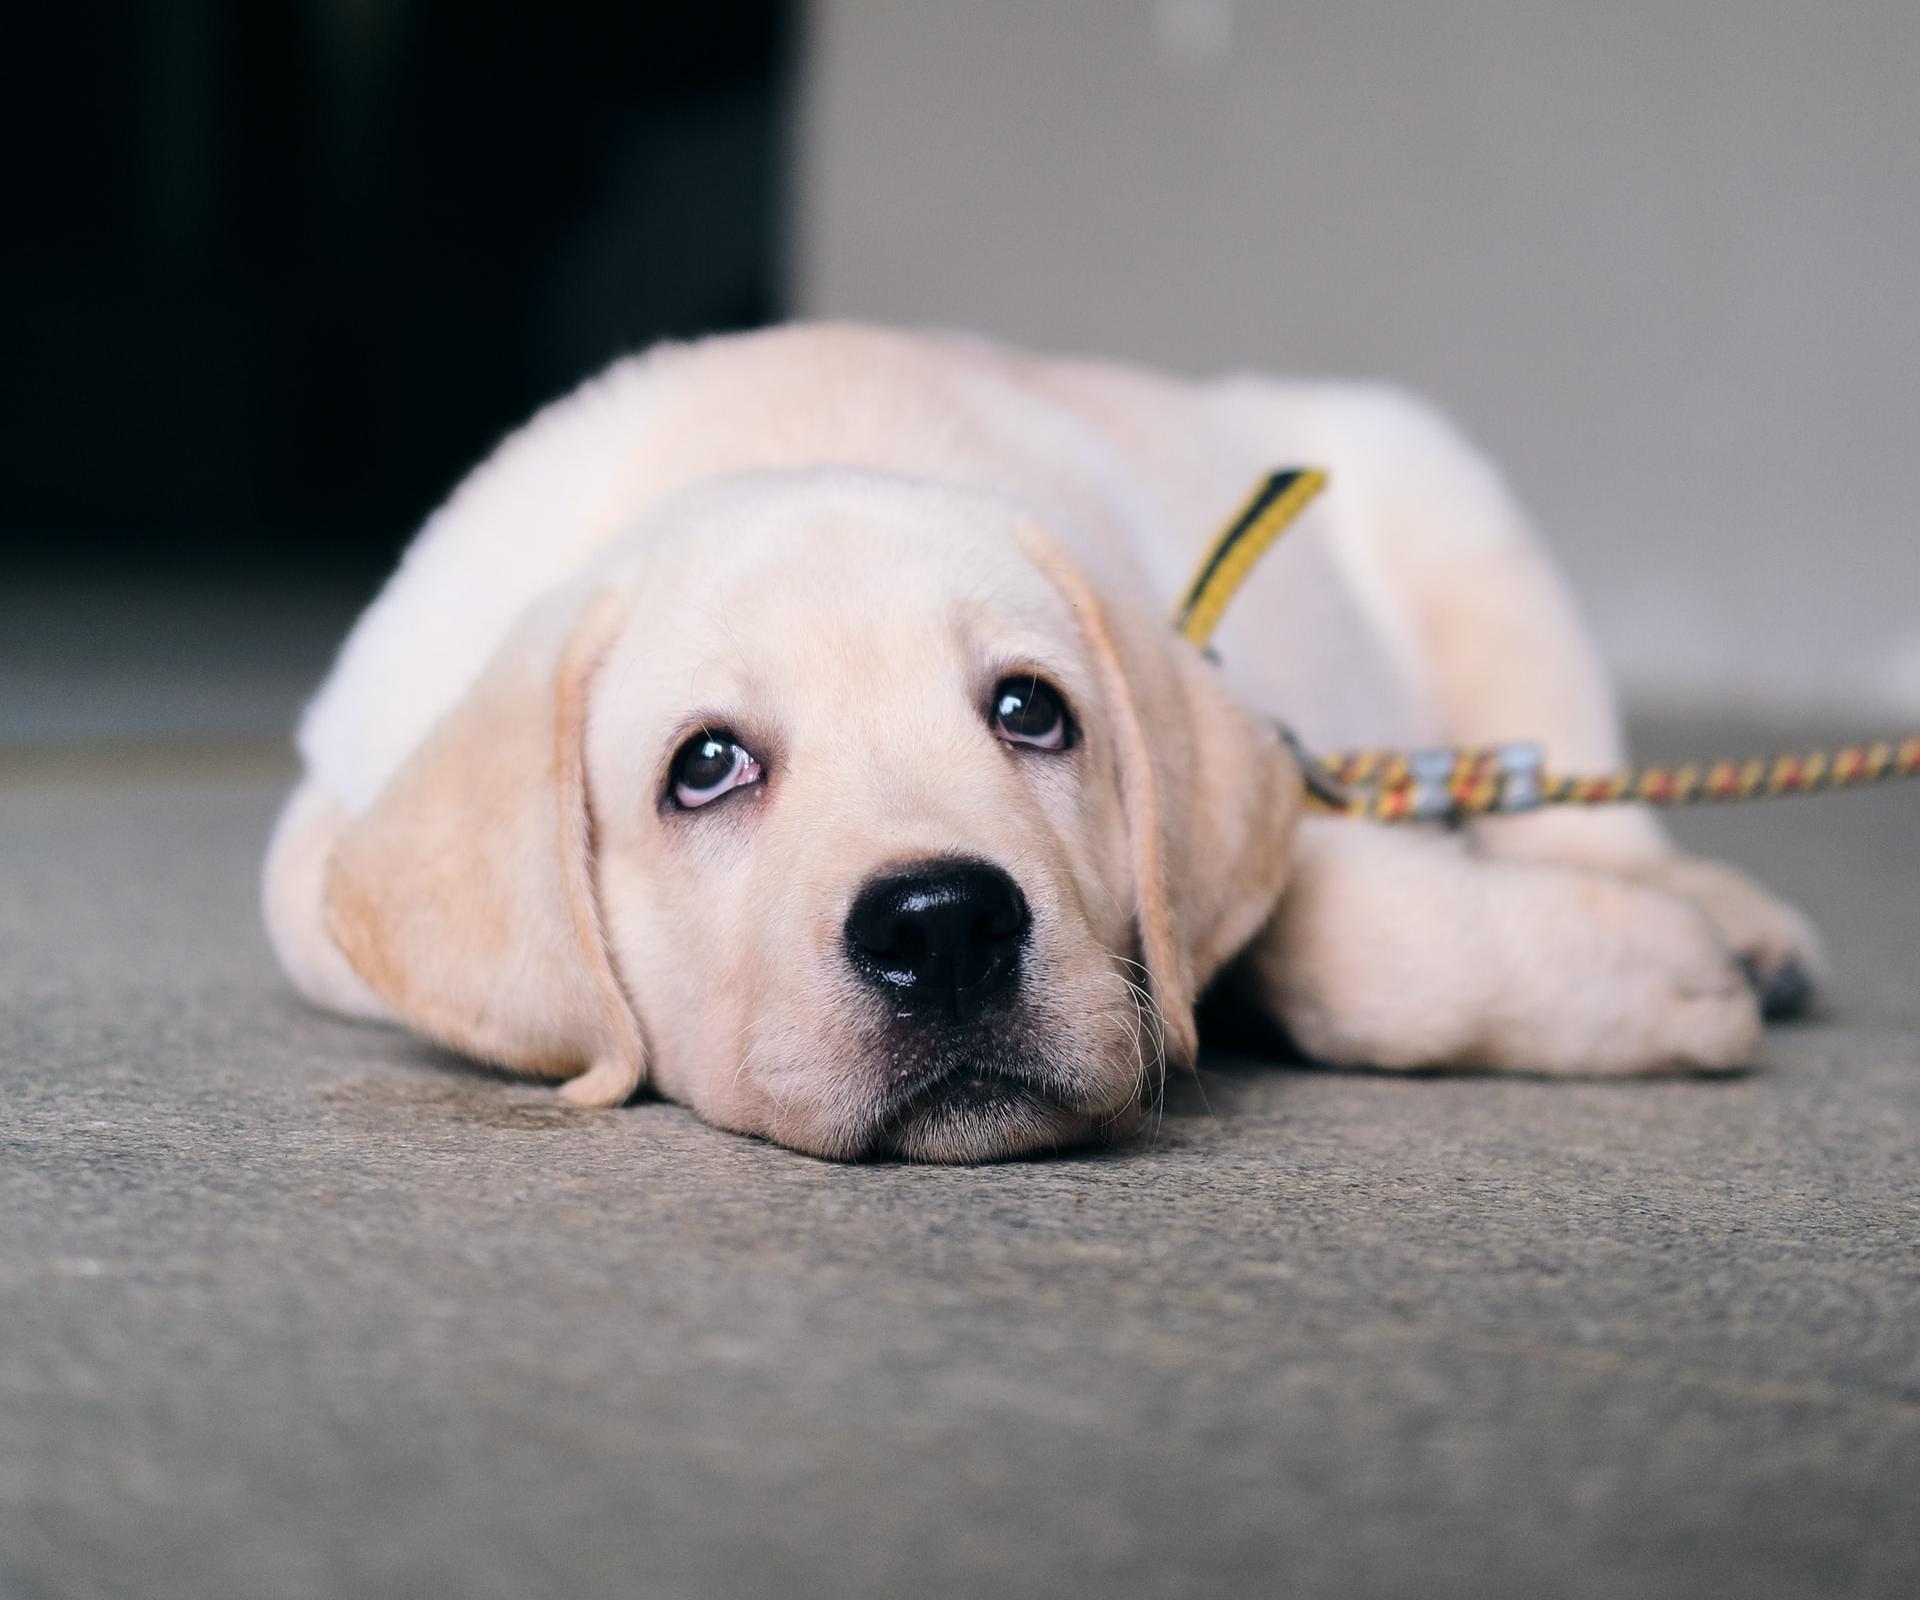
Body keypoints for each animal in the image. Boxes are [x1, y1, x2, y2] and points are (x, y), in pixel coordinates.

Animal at [263, 318, 1820, 1152]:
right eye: (703, 767)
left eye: (1031, 712)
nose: (945, 925)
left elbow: (1327, 934)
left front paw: (1649, 976)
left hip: (1464, 526)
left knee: (1577, 792)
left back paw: (1715, 915)